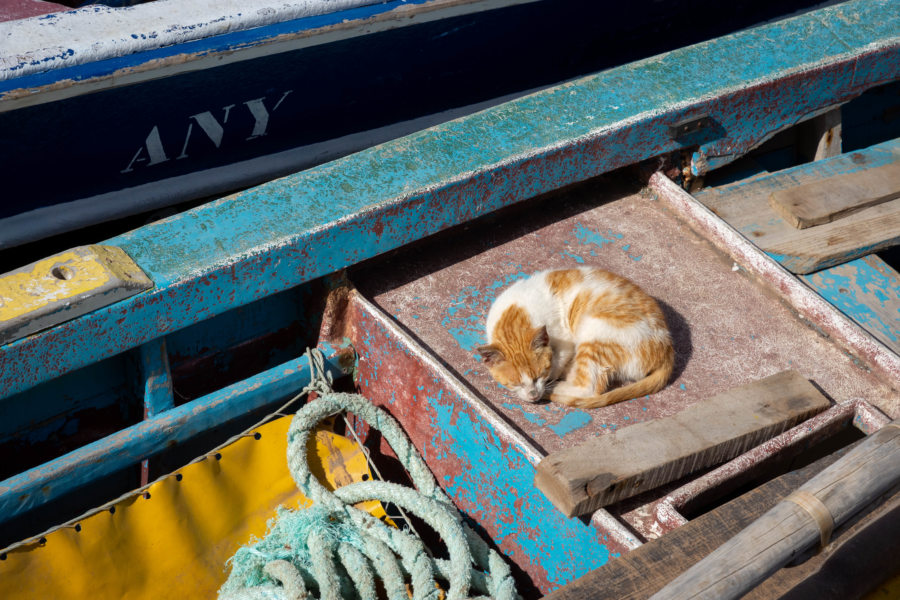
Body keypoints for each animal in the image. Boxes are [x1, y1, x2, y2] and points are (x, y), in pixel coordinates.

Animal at [478, 268, 676, 408]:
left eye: (539, 375)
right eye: (515, 383)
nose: (533, 394)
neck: (516, 314)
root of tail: (667, 350)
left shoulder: (565, 340)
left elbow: (557, 363)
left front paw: (551, 379)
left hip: (595, 332)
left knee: (590, 388)